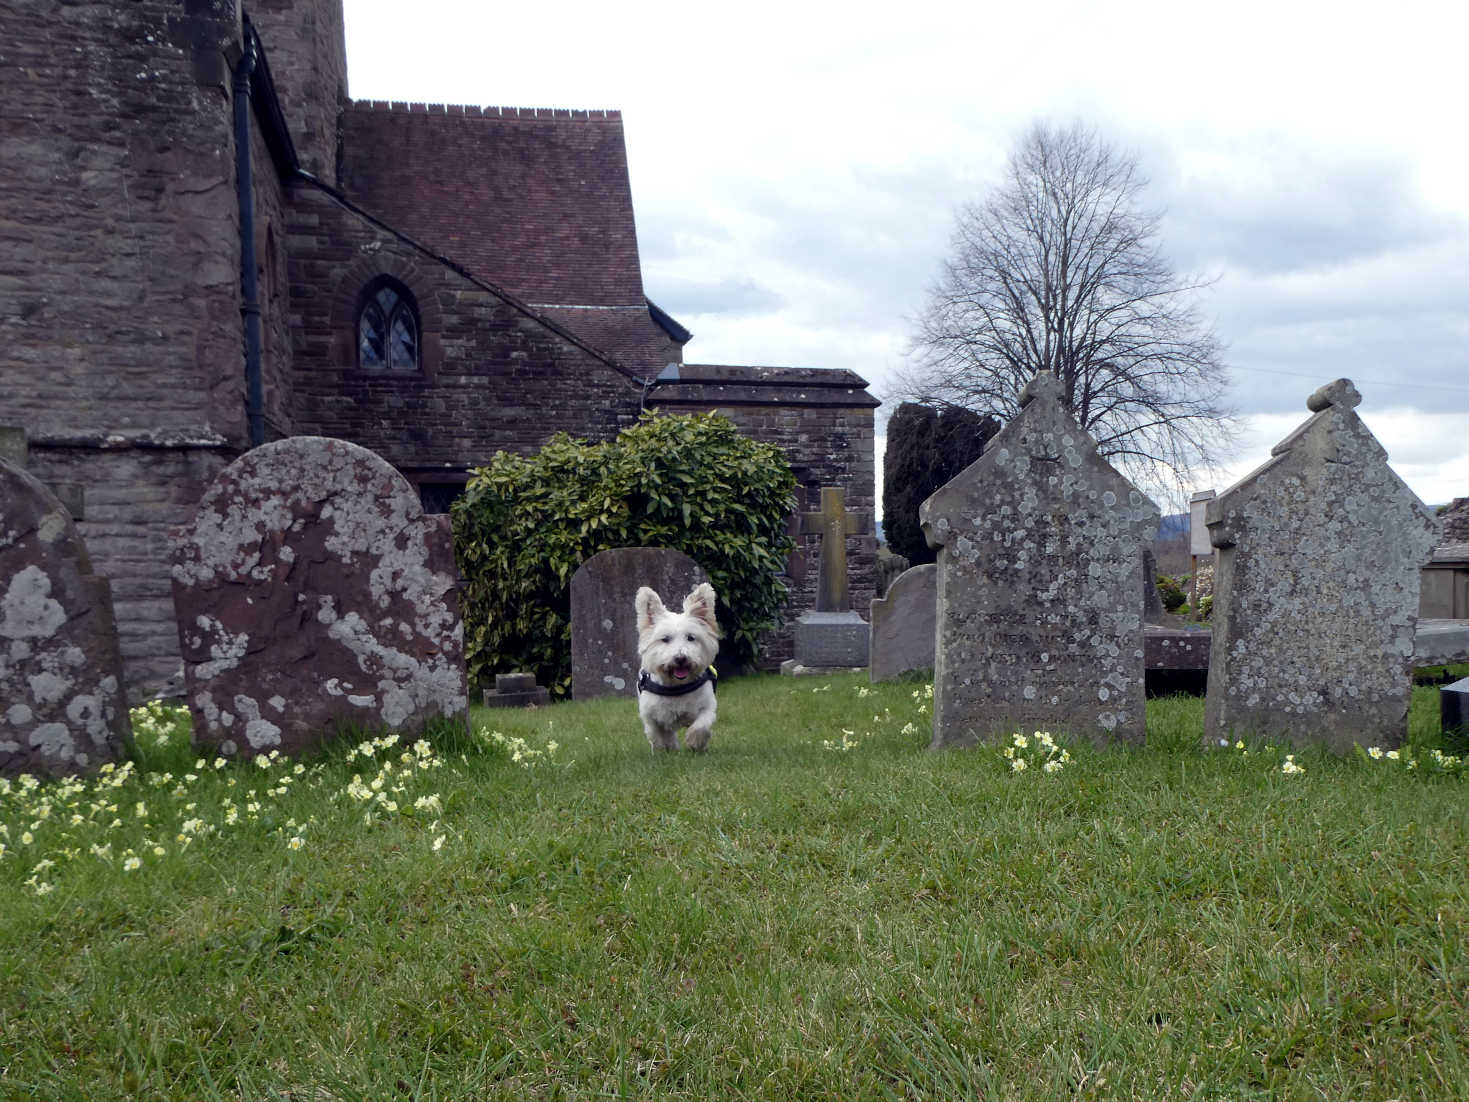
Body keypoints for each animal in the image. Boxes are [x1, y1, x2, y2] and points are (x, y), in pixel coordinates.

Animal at [634, 581, 719, 758]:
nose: (680, 658)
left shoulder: (707, 705)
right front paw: (662, 751)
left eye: (691, 637)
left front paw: (695, 742)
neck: (676, 687)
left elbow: (701, 725)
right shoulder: (650, 715)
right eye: (665, 639)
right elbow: (656, 734)